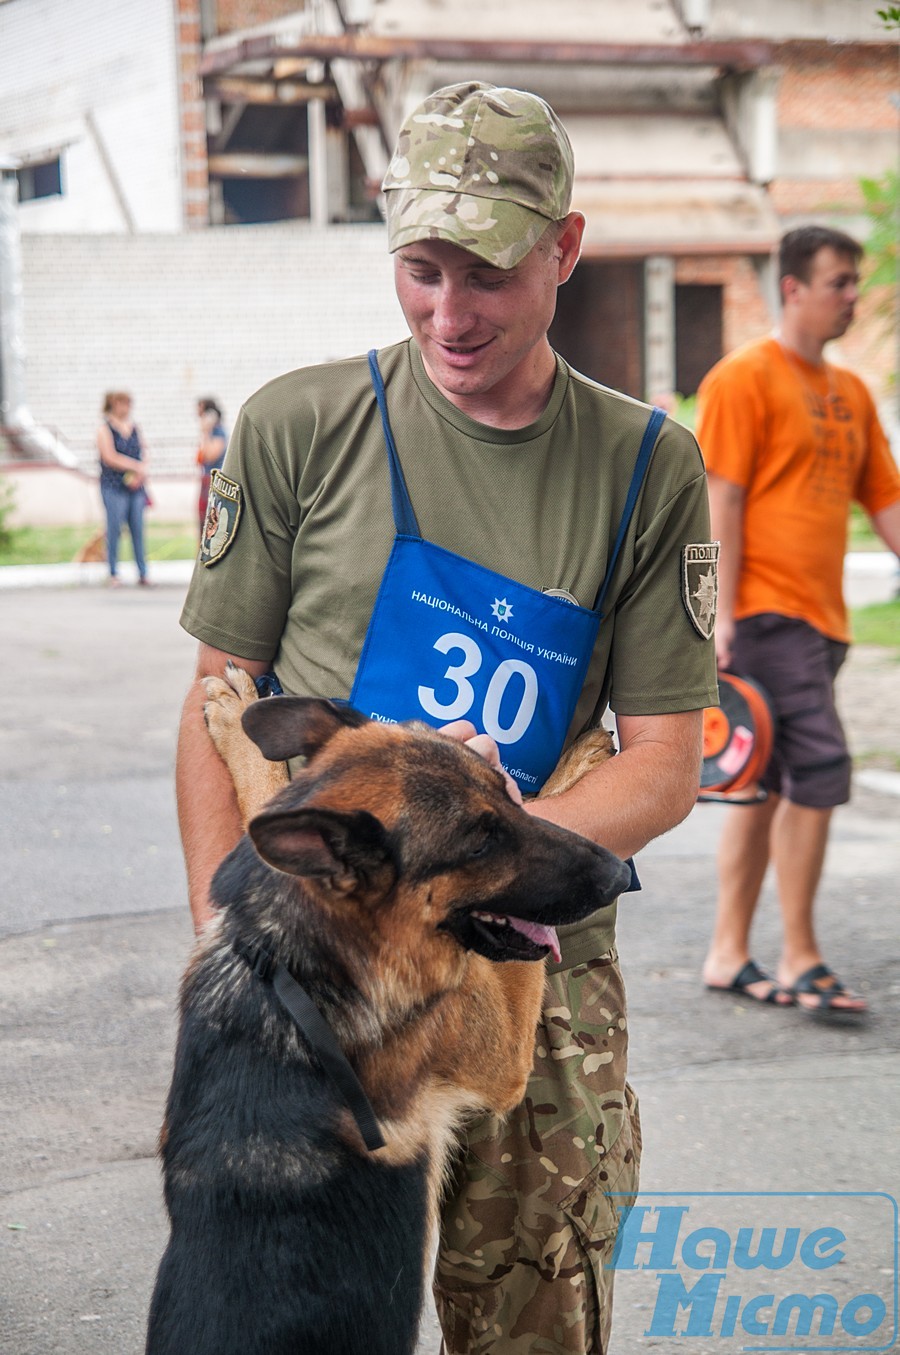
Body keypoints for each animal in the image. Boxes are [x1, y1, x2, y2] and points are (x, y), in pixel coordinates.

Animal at [147, 666, 626, 1355]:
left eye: (509, 797)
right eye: (480, 844)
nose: (618, 874)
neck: (290, 967)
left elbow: (269, 801)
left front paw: (238, 722)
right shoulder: (501, 1047)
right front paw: (575, 761)